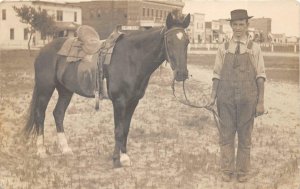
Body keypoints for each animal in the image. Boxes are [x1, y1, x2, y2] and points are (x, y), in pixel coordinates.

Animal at [24, 12, 191, 168]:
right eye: (169, 41)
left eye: (187, 41)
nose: (182, 74)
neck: (132, 58)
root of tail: (43, 50)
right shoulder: (119, 101)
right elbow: (118, 130)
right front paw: (119, 159)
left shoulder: (133, 102)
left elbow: (125, 129)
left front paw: (121, 156)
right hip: (45, 89)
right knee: (40, 115)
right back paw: (41, 151)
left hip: (65, 90)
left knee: (58, 114)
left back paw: (66, 149)